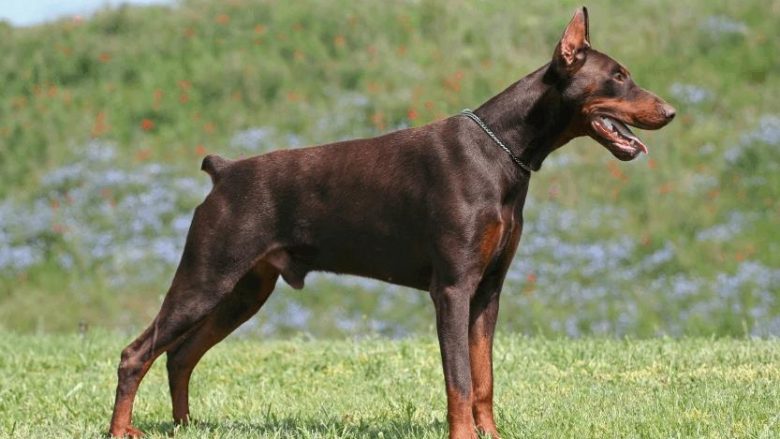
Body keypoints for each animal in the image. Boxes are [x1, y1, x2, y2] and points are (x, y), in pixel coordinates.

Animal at [106, 6, 672, 439]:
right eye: (618, 76)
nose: (669, 111)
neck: (503, 150)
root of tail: (224, 171)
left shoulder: (488, 289)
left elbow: (484, 377)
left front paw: (490, 434)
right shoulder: (452, 288)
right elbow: (459, 380)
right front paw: (465, 436)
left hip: (245, 289)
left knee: (180, 355)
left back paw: (185, 426)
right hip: (207, 275)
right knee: (136, 353)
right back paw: (122, 429)